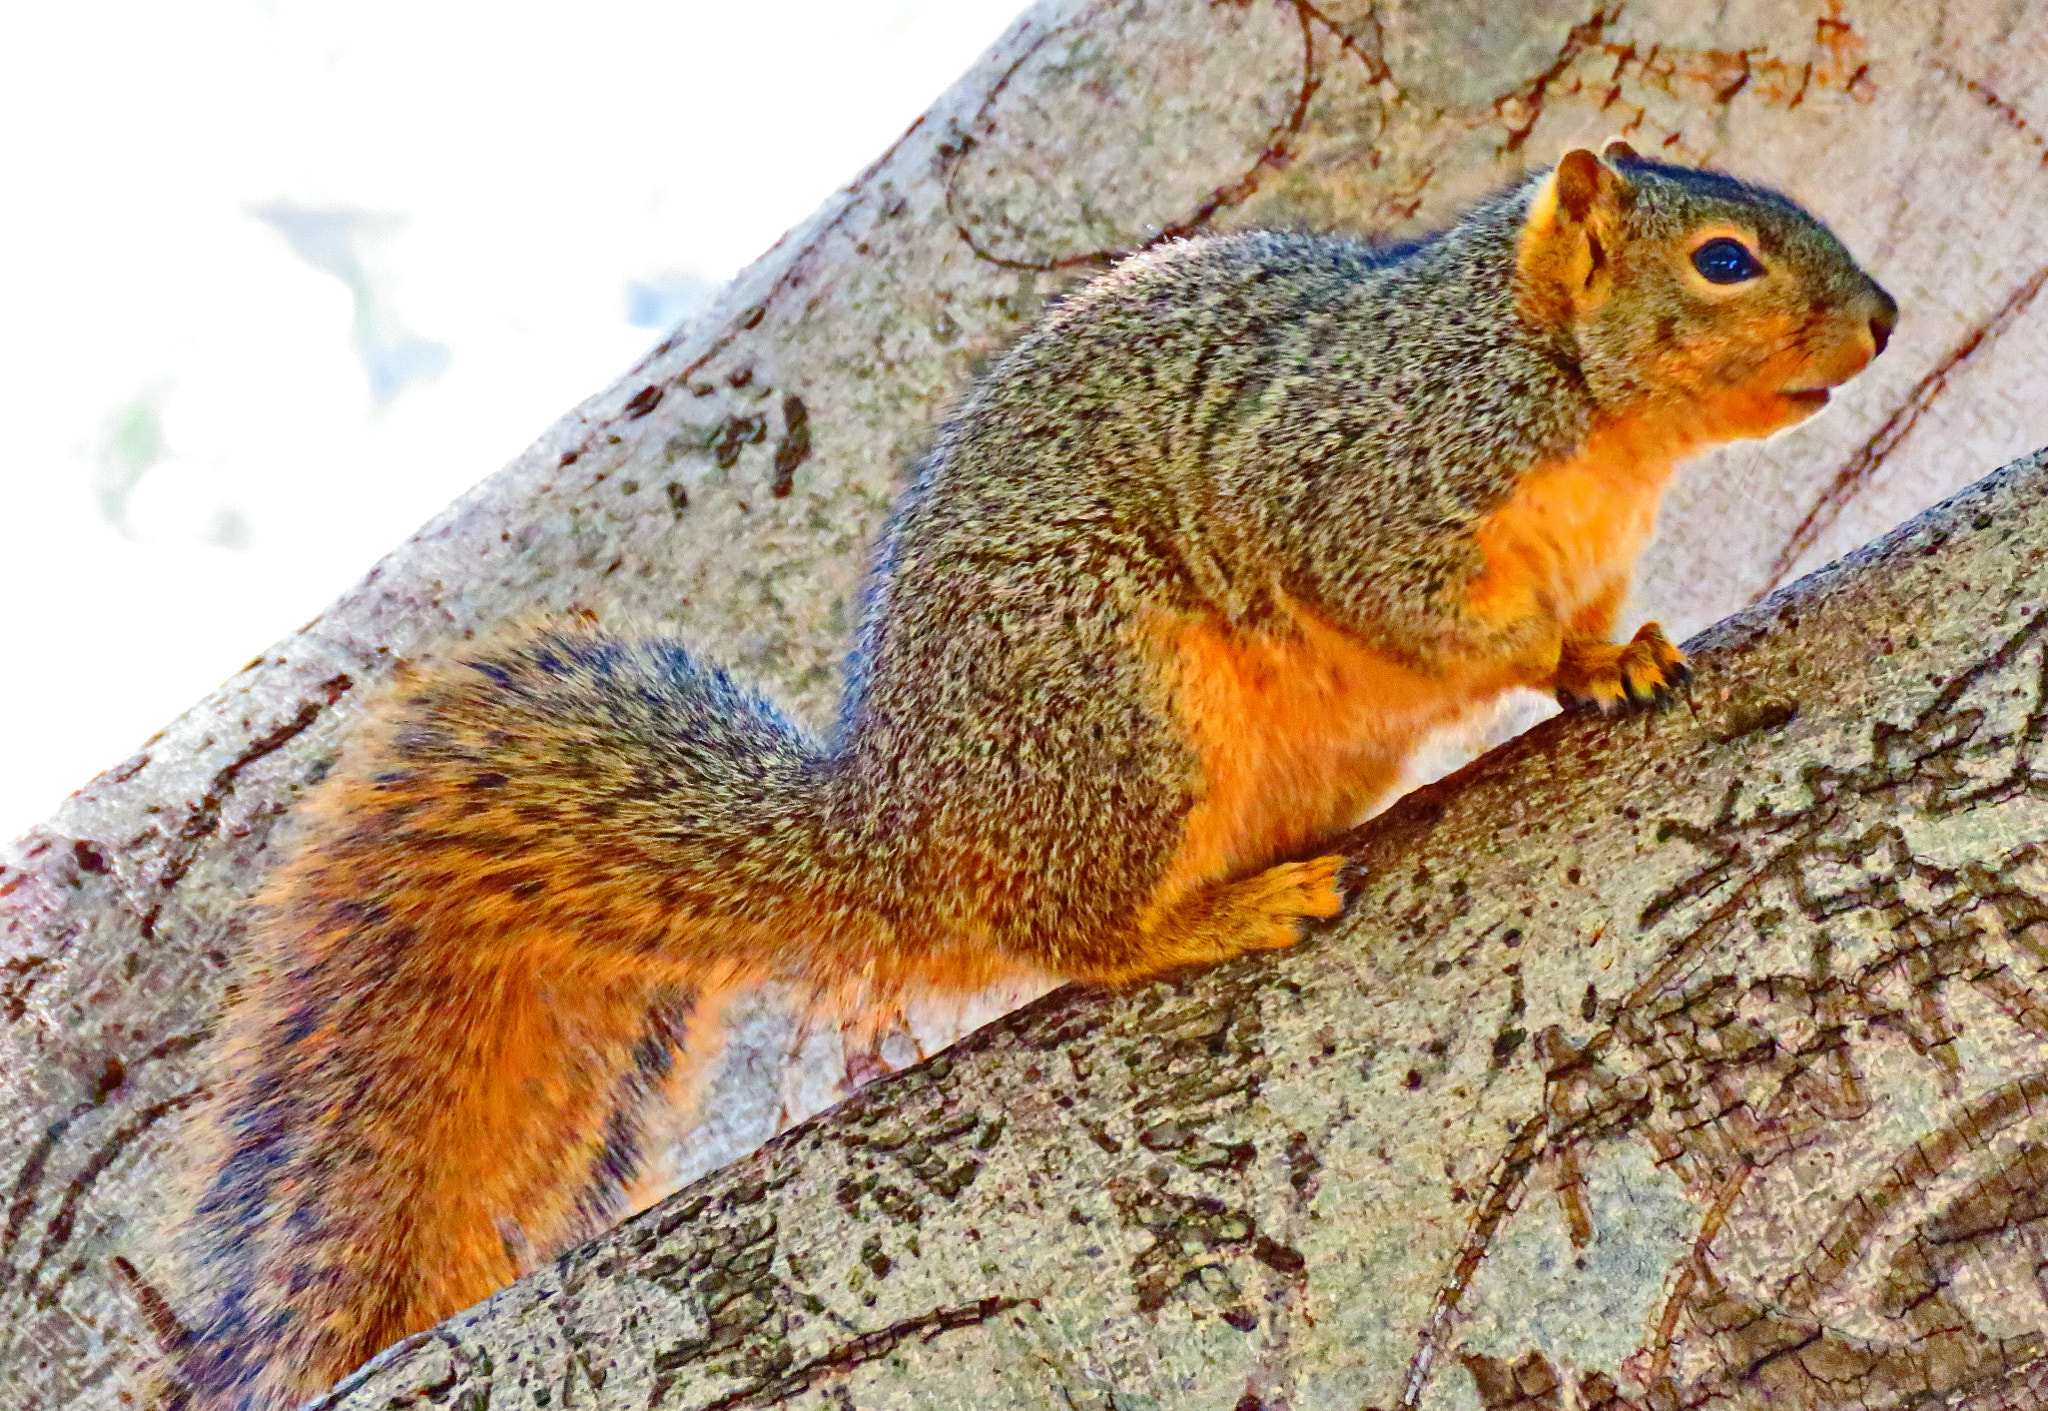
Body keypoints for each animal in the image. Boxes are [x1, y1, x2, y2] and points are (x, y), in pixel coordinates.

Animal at [167, 148, 1892, 1400]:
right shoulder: (1356, 473)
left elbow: (1585, 624)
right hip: (1113, 708)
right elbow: (1398, 598)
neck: (1592, 421)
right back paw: (1211, 916)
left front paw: (1617, 658)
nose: (1880, 320)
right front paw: (1545, 660)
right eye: (1723, 259)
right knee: (1082, 938)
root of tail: (903, 833)